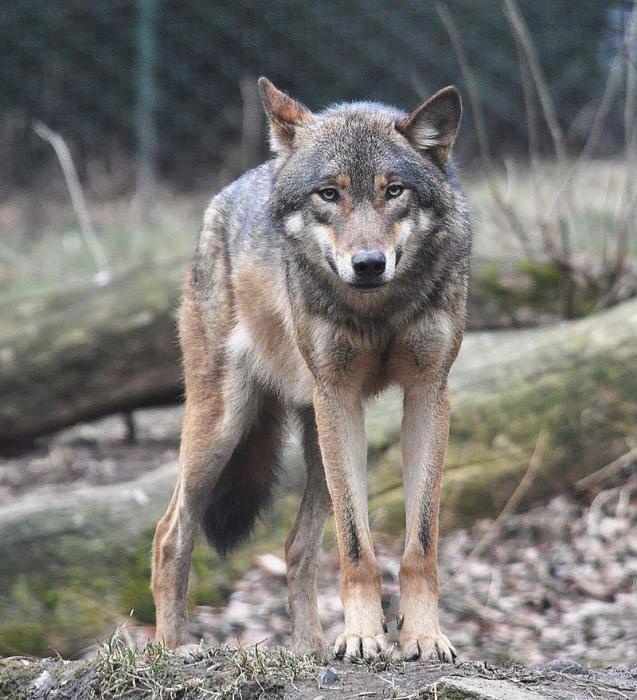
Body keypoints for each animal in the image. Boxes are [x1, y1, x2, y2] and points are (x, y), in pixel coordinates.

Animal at [152, 78, 470, 660]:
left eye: (394, 191)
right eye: (329, 194)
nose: (368, 264)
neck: (377, 311)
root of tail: (227, 194)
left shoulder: (428, 394)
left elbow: (420, 544)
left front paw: (422, 636)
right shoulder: (338, 395)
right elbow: (356, 546)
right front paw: (365, 637)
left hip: (320, 440)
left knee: (296, 545)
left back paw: (310, 649)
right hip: (226, 426)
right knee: (171, 532)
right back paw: (173, 647)